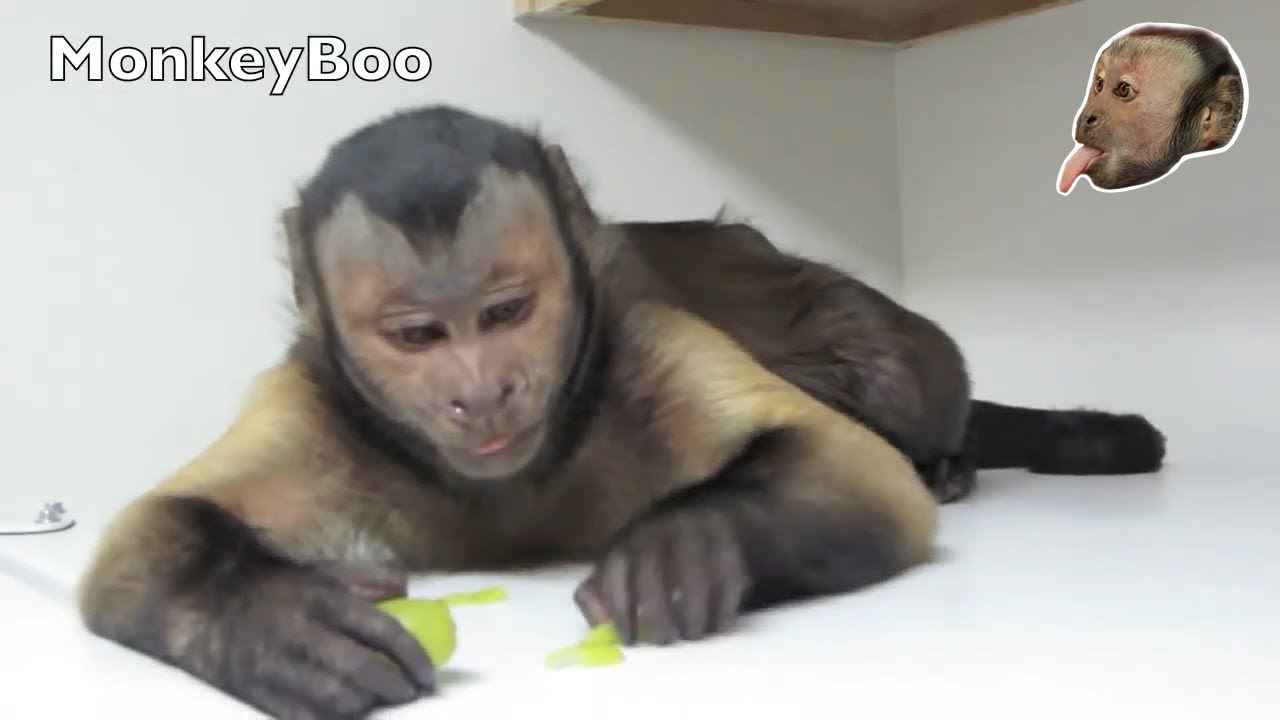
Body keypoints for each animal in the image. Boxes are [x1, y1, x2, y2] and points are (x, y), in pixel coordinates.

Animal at [75, 105, 1167, 719]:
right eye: (418, 337)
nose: (482, 390)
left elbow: (852, 470)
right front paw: (271, 621)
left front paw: (688, 541)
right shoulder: (312, 397)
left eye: (506, 313)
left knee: (897, 380)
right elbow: (141, 537)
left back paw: (946, 453)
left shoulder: (642, 340)